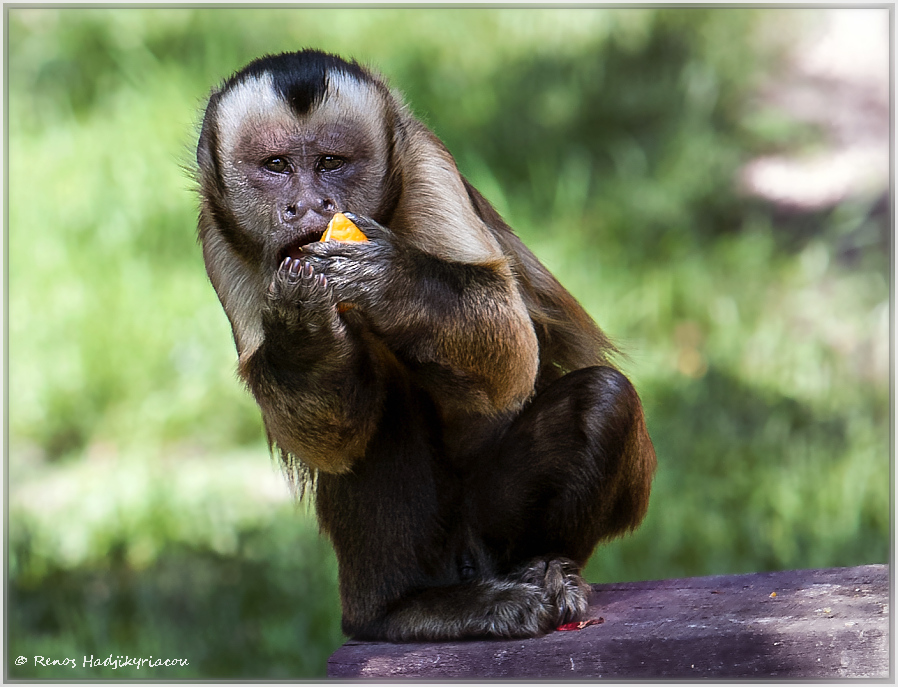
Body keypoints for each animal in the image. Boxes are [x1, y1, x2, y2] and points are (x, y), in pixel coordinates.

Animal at [196, 49, 656, 644]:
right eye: (276, 166)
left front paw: (383, 277)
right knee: (379, 404)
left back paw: (542, 570)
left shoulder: (426, 167)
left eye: (330, 162)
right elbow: (331, 438)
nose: (311, 204)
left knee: (602, 400)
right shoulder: (216, 234)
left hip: (488, 527)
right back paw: (400, 609)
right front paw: (303, 336)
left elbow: (513, 345)